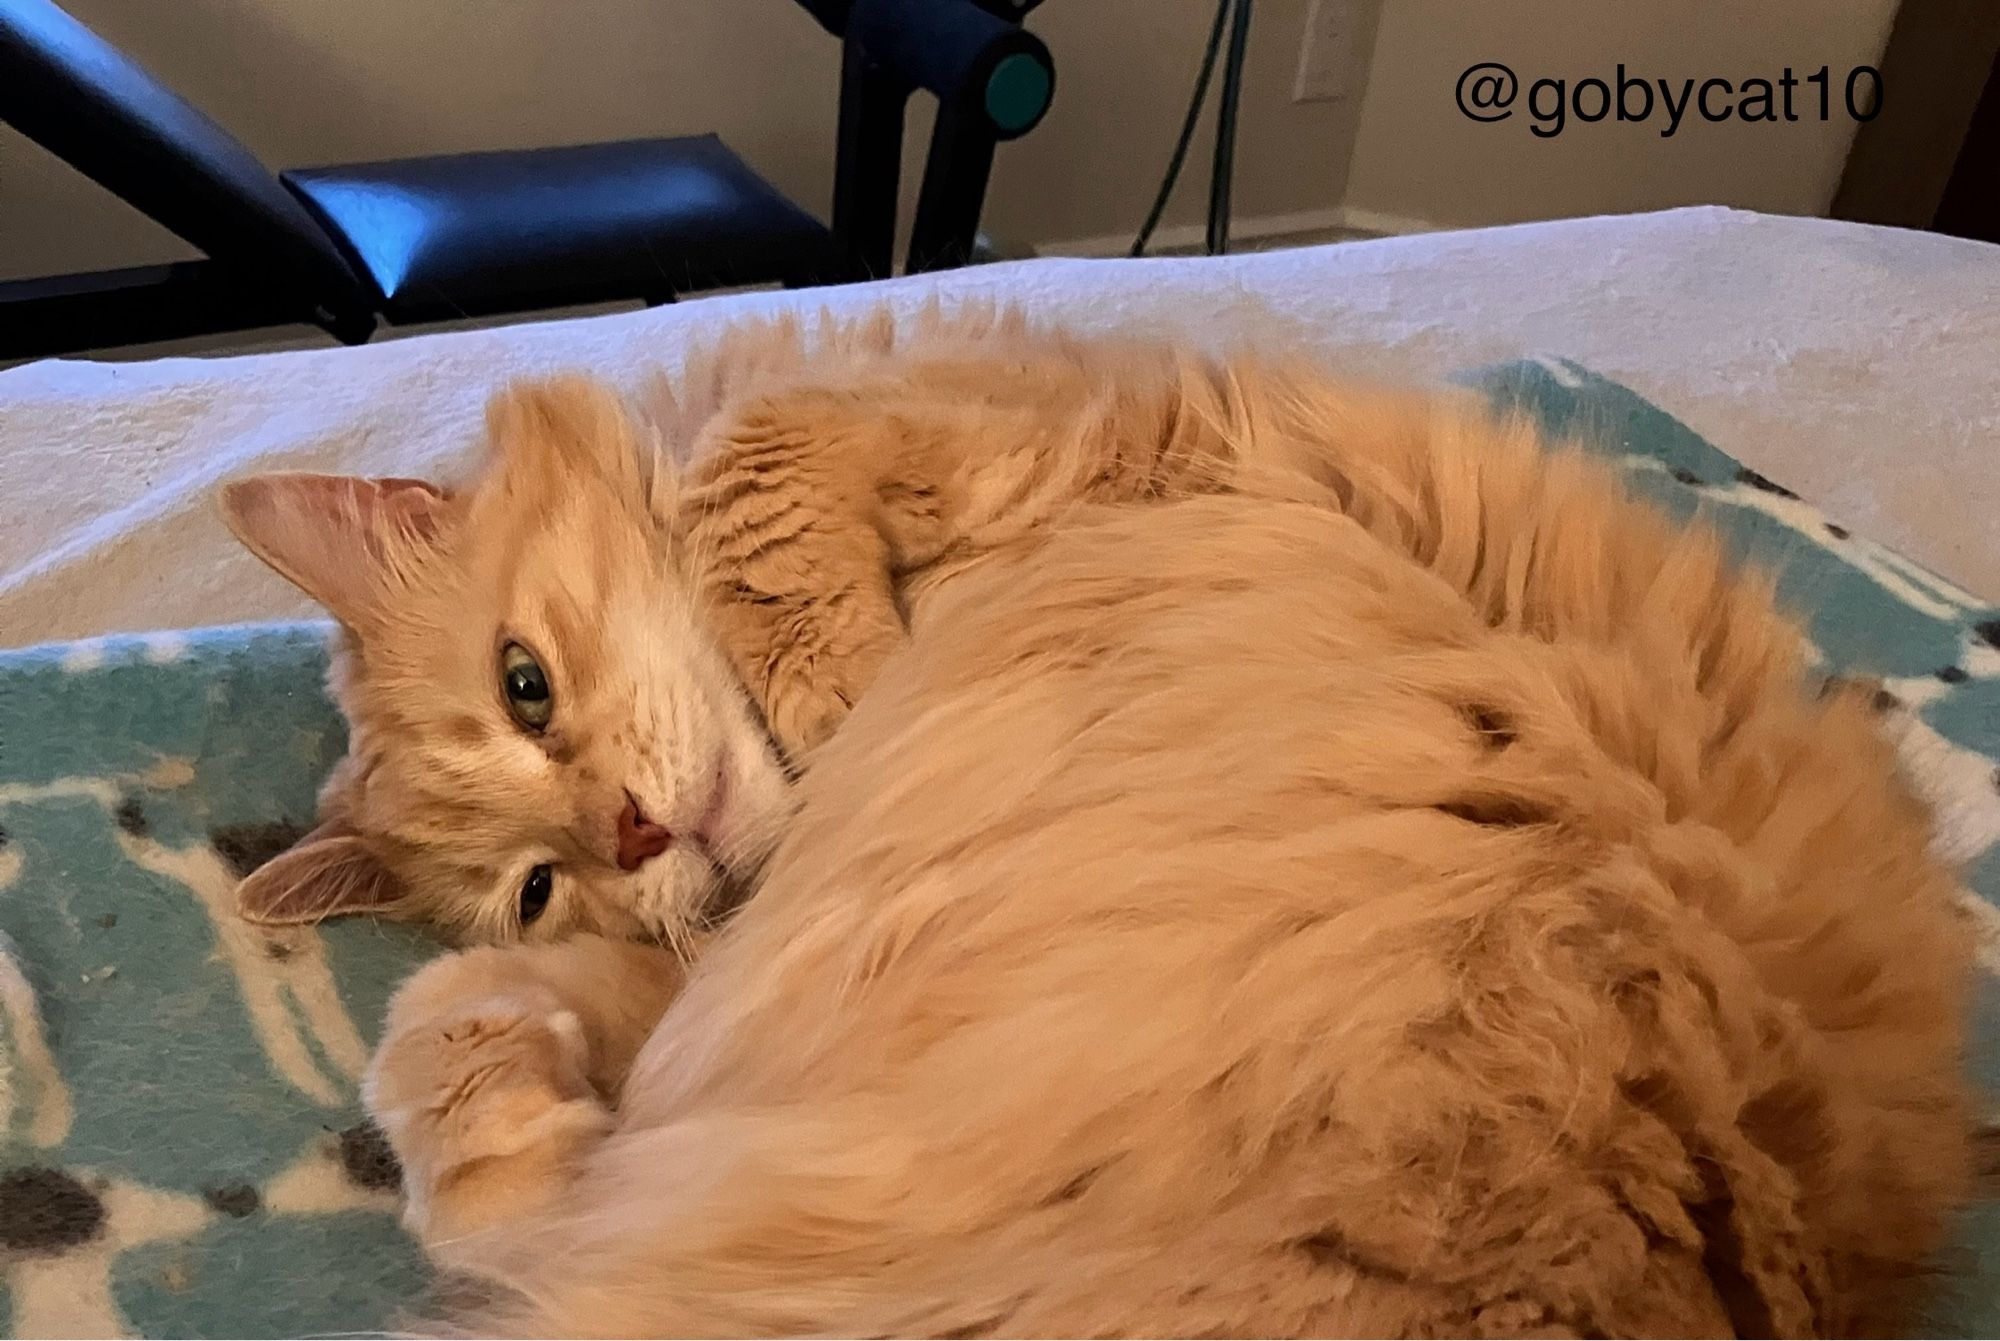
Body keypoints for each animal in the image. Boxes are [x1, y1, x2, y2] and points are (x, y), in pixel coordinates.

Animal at [227, 312, 1976, 1336]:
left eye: (526, 686)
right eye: (539, 885)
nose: (635, 838)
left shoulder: (1047, 430)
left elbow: (754, 476)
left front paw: (836, 681)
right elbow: (455, 1052)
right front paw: (493, 1117)